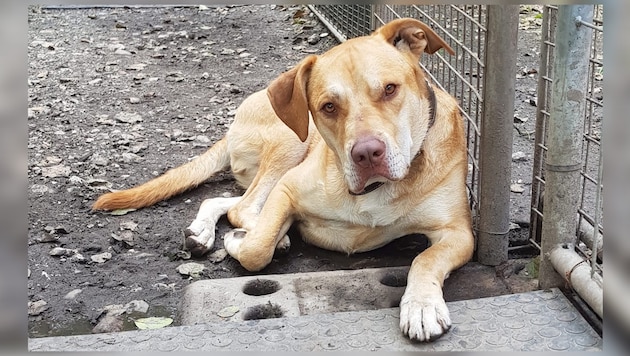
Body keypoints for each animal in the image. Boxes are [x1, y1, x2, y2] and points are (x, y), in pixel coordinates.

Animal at [94, 18, 474, 340]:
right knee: (244, 207)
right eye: (328, 106)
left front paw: (421, 306)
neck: (373, 191)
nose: (367, 153)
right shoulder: (289, 189)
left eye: (390, 89)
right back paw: (261, 236)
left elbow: (425, 259)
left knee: (223, 201)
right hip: (290, 143)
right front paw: (245, 243)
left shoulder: (457, 233)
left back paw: (201, 232)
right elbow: (255, 251)